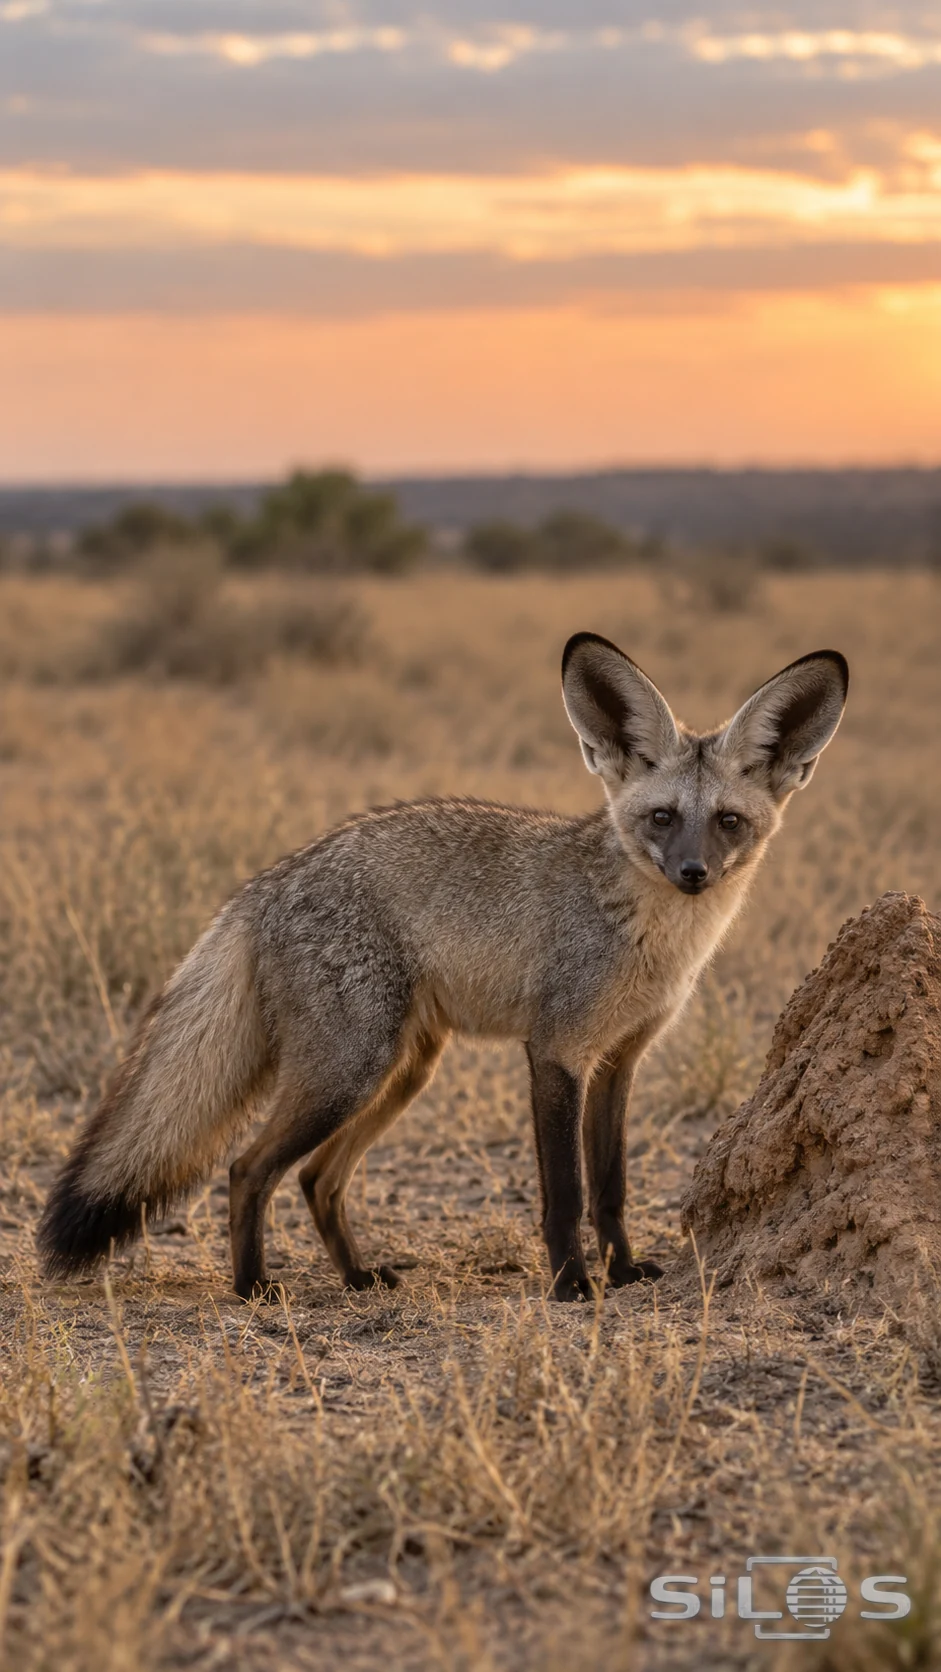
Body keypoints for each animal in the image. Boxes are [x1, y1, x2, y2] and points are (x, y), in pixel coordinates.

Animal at [38, 633, 848, 1303]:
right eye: (661, 817)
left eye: (727, 822)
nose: (692, 875)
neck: (648, 940)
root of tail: (267, 881)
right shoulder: (556, 1053)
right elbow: (564, 1194)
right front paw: (571, 1285)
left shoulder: (618, 1061)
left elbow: (611, 1187)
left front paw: (620, 1272)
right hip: (350, 1071)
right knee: (249, 1169)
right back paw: (251, 1289)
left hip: (402, 1073)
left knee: (316, 1178)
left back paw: (358, 1277)